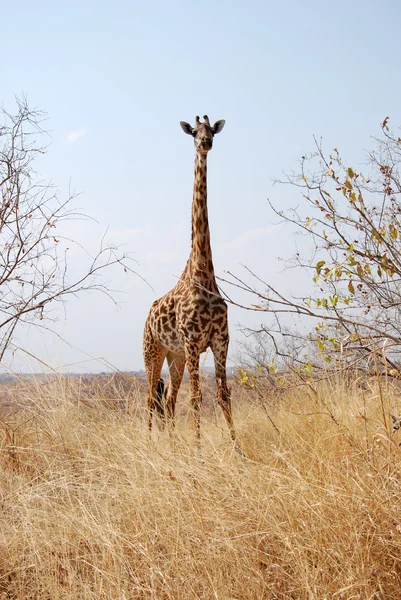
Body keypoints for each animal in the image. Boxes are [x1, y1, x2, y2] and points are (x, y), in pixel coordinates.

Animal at [142, 113, 234, 440]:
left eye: (212, 131)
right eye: (194, 131)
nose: (205, 143)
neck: (203, 273)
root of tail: (146, 317)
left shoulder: (220, 340)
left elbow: (223, 395)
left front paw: (238, 448)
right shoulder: (194, 341)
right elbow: (196, 398)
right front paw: (197, 450)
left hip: (175, 355)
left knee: (168, 399)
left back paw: (172, 444)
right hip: (152, 351)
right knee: (150, 398)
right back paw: (151, 443)